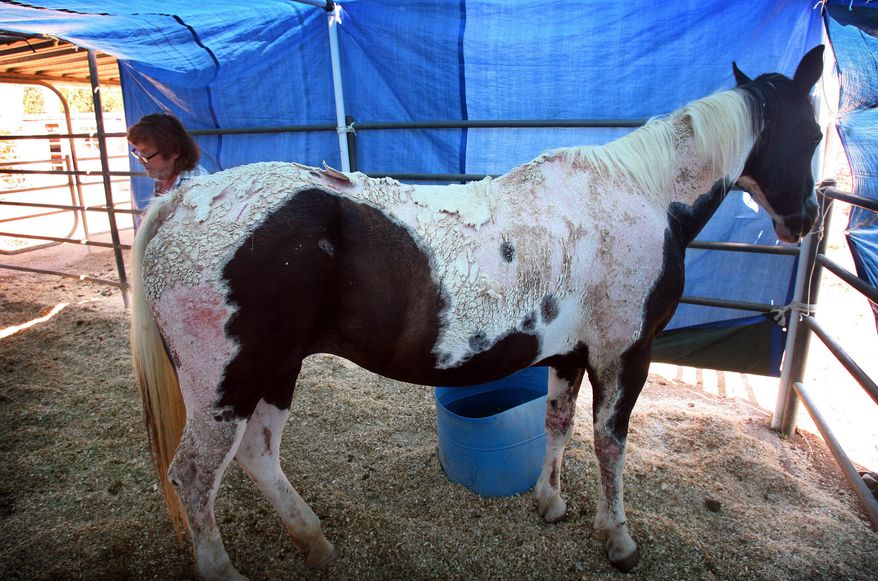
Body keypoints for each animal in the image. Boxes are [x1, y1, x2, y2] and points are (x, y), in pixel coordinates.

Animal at [130, 45, 824, 580]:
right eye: (814, 135)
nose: (806, 219)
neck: (642, 196)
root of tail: (186, 198)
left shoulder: (570, 353)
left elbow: (557, 424)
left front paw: (550, 504)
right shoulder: (624, 353)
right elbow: (609, 443)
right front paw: (618, 539)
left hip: (275, 369)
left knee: (257, 455)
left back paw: (315, 542)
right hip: (228, 382)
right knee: (194, 475)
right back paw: (223, 568)